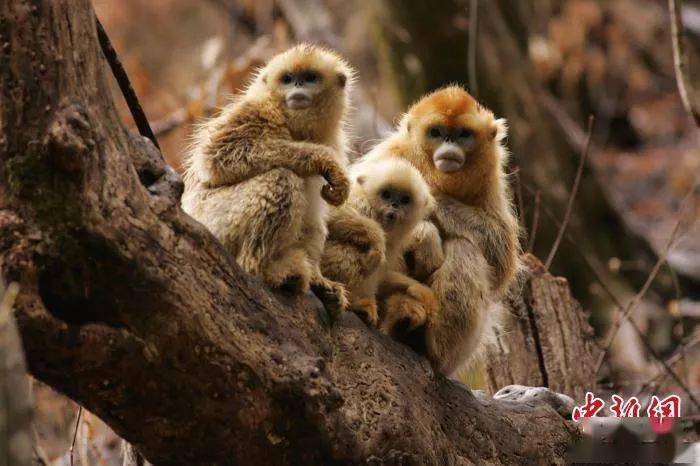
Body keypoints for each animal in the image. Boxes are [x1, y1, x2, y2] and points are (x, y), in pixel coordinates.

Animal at [182, 44, 356, 314]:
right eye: (287, 79)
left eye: (310, 77)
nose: (297, 85)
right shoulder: (259, 110)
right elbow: (217, 156)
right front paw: (323, 159)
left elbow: (313, 219)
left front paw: (320, 281)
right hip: (214, 223)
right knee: (281, 178)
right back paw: (264, 270)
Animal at [322, 158, 438, 330]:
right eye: (386, 195)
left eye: (404, 200)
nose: (394, 205)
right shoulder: (359, 202)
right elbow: (328, 212)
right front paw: (377, 239)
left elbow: (383, 276)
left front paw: (423, 294)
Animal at [366, 85, 520, 376]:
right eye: (436, 133)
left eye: (463, 134)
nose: (449, 144)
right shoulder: (389, 156)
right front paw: (425, 233)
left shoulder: (490, 182)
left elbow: (501, 258)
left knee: (464, 247)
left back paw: (425, 344)